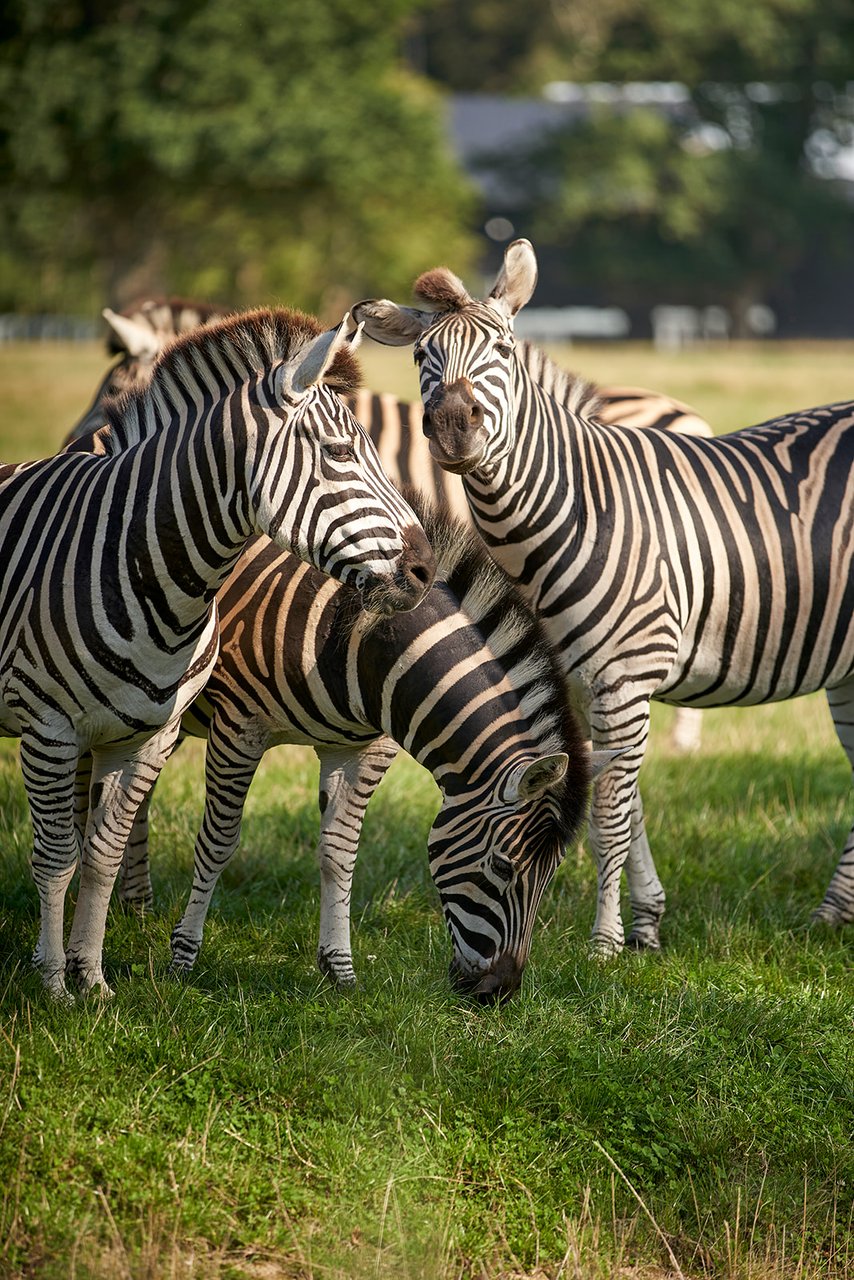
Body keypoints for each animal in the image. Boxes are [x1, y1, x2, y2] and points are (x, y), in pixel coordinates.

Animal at [1, 306, 435, 1000]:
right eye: (340, 454)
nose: (425, 570)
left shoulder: (146, 733)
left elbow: (99, 854)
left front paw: (90, 981)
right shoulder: (50, 727)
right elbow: (57, 857)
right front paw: (53, 983)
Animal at [352, 238, 854, 954]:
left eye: (502, 349)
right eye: (422, 357)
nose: (451, 426)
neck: (576, 510)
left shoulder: (627, 676)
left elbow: (611, 814)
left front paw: (606, 943)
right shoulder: (588, 686)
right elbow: (624, 802)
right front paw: (646, 922)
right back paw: (833, 913)